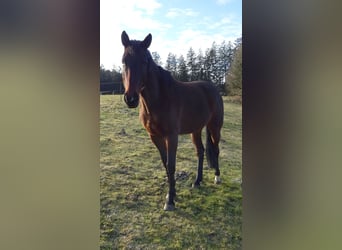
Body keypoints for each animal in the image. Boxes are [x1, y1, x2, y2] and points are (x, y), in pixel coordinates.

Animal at [121, 31, 224, 211]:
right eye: (124, 61)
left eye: (144, 61)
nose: (131, 99)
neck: (160, 98)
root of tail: (214, 89)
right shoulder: (155, 136)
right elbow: (165, 164)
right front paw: (172, 194)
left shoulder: (172, 136)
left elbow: (171, 165)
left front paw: (170, 201)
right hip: (196, 130)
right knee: (200, 151)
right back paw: (197, 181)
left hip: (215, 127)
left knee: (216, 149)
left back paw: (217, 177)